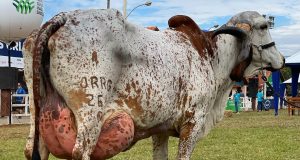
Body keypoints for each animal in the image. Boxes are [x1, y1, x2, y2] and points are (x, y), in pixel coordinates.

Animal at [22, 9, 284, 160]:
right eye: (263, 26)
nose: (281, 60)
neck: (211, 55)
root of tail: (63, 18)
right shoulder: (193, 122)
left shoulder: (161, 130)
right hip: (90, 115)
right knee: (80, 151)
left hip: (37, 116)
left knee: (34, 150)